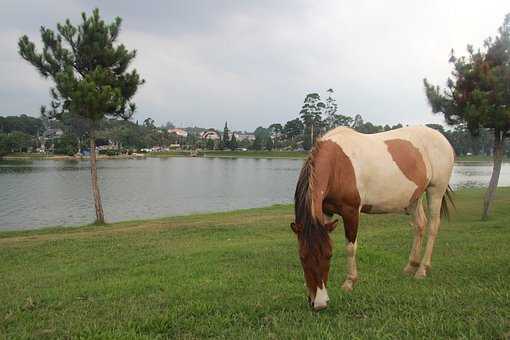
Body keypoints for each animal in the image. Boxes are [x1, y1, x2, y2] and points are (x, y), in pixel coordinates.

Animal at [290, 125, 454, 310]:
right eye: (302, 257)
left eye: (329, 256)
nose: (319, 303)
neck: (337, 163)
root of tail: (441, 137)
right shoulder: (326, 212)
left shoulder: (351, 211)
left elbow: (350, 247)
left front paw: (349, 282)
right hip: (414, 198)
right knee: (419, 224)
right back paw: (410, 266)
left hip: (435, 190)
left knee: (433, 226)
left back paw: (422, 270)